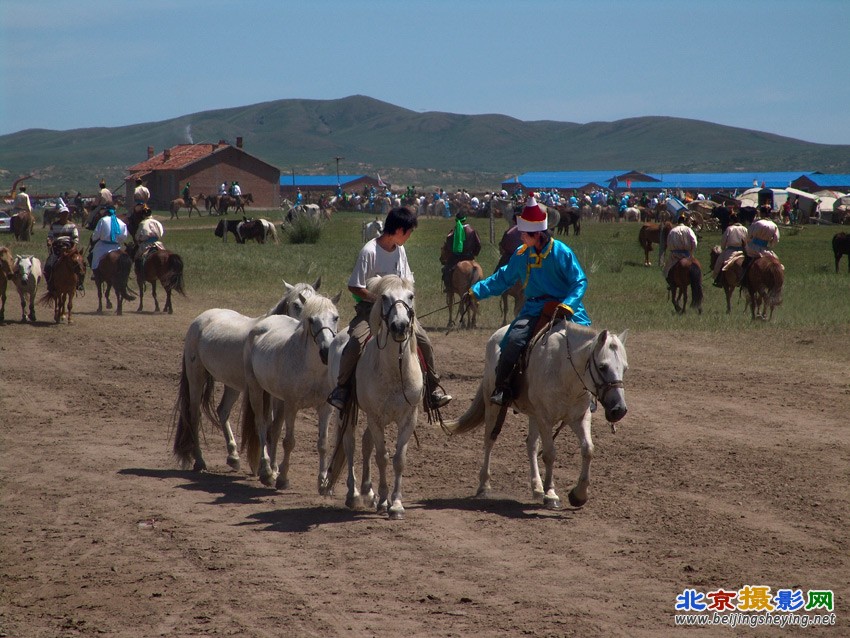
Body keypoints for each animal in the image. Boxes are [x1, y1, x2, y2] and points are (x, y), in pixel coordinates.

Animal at [172, 278, 322, 472]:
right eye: (296, 304)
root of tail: (201, 319)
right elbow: (265, 424)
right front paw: (265, 466)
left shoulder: (277, 395)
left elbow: (275, 427)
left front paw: (269, 466)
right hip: (196, 378)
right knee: (194, 415)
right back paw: (200, 461)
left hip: (232, 385)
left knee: (222, 411)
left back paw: (233, 456)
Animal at [240, 294, 340, 490]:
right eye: (311, 320)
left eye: (335, 317)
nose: (326, 351)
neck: (313, 370)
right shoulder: (292, 407)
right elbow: (289, 442)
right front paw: (283, 479)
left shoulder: (325, 408)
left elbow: (323, 444)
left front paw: (322, 481)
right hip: (257, 390)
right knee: (261, 425)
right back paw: (267, 472)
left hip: (278, 399)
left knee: (274, 429)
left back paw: (273, 468)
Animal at [332, 276, 424, 520]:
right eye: (384, 297)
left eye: (410, 296)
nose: (400, 326)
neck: (395, 370)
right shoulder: (375, 417)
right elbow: (382, 456)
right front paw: (384, 500)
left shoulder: (408, 418)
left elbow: (398, 459)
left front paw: (396, 505)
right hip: (347, 412)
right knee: (351, 445)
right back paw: (354, 495)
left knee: (366, 444)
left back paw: (368, 491)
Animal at [440, 324, 628, 510]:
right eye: (603, 367)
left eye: (625, 368)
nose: (619, 409)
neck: (565, 372)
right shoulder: (545, 418)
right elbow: (550, 454)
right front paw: (551, 494)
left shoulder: (579, 418)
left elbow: (588, 449)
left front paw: (578, 495)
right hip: (493, 404)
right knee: (489, 440)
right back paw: (484, 486)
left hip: (533, 415)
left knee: (531, 444)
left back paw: (537, 487)